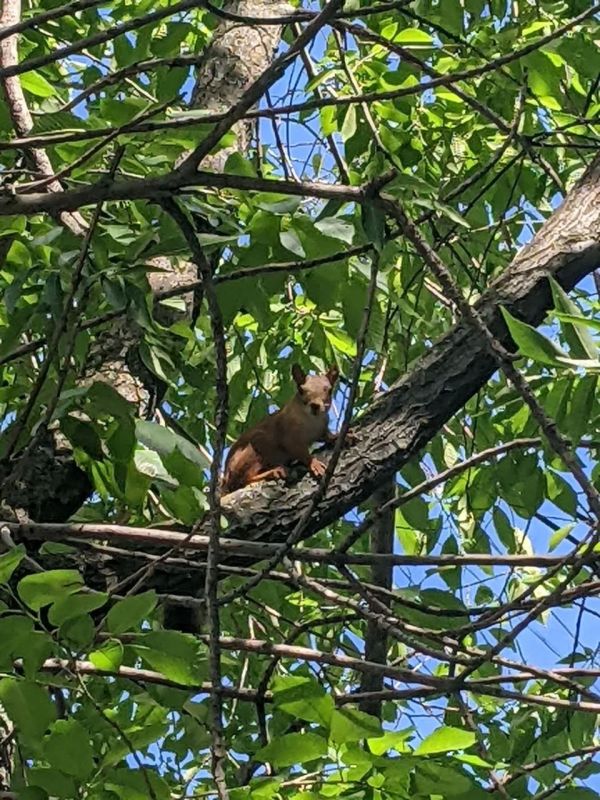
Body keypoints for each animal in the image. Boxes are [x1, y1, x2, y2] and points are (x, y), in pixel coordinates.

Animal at [221, 363, 350, 495]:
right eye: (301, 390)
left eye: (329, 390)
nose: (315, 406)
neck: (312, 420)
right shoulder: (288, 435)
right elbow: (300, 451)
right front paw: (313, 463)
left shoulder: (321, 430)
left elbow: (327, 436)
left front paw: (343, 436)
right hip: (252, 450)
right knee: (242, 481)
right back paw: (273, 471)